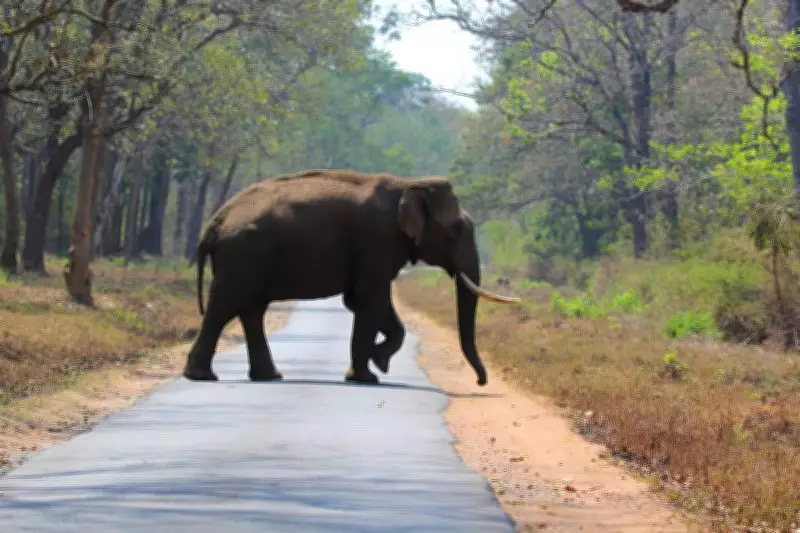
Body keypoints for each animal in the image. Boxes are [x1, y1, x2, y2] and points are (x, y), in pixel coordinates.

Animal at [182, 169, 520, 387]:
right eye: (457, 229)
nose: (481, 382)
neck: (408, 184)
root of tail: (214, 223)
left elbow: (361, 301)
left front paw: (375, 362)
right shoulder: (376, 239)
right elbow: (371, 298)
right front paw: (371, 374)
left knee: (252, 310)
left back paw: (268, 376)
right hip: (242, 255)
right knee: (225, 305)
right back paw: (202, 376)